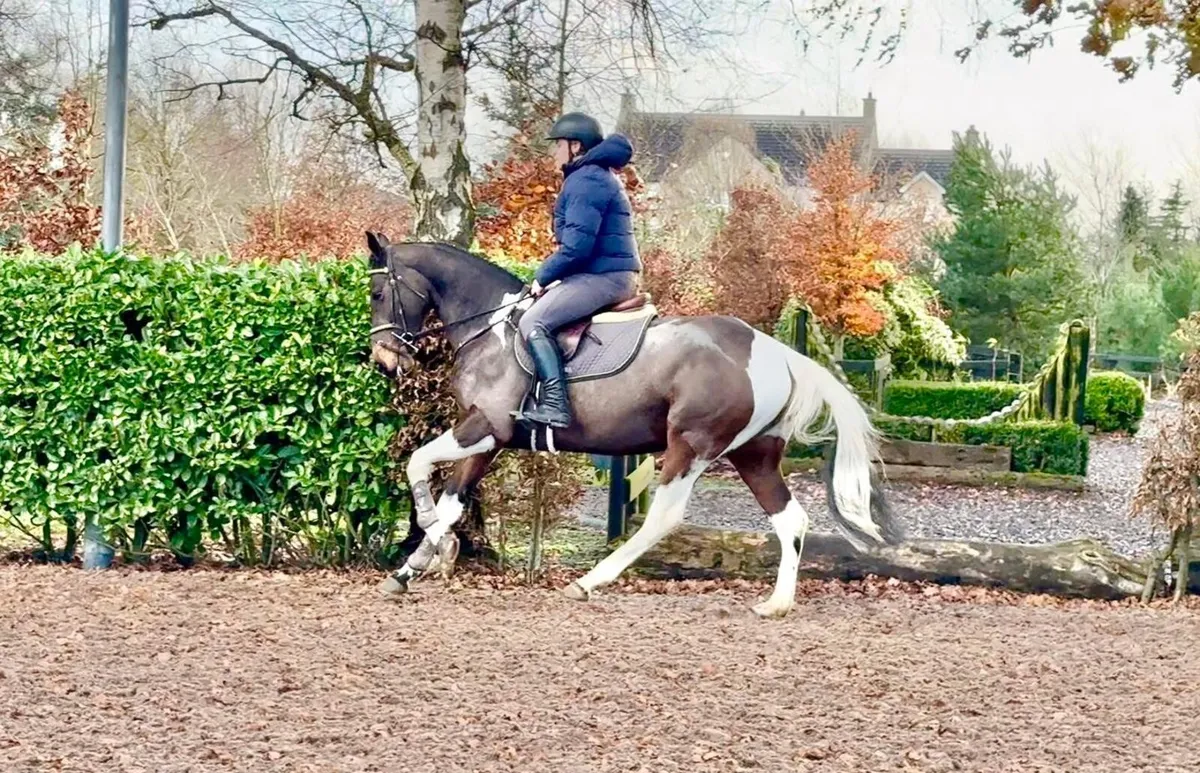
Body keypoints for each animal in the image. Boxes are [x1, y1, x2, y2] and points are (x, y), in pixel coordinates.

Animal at [366, 232, 904, 618]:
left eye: (375, 292)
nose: (384, 361)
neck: (490, 328)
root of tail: (776, 351)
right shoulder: (487, 437)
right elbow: (453, 500)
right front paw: (416, 564)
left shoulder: (484, 426)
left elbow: (418, 464)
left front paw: (430, 539)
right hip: (753, 455)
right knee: (790, 518)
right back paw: (776, 604)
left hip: (691, 445)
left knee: (663, 518)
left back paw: (589, 581)